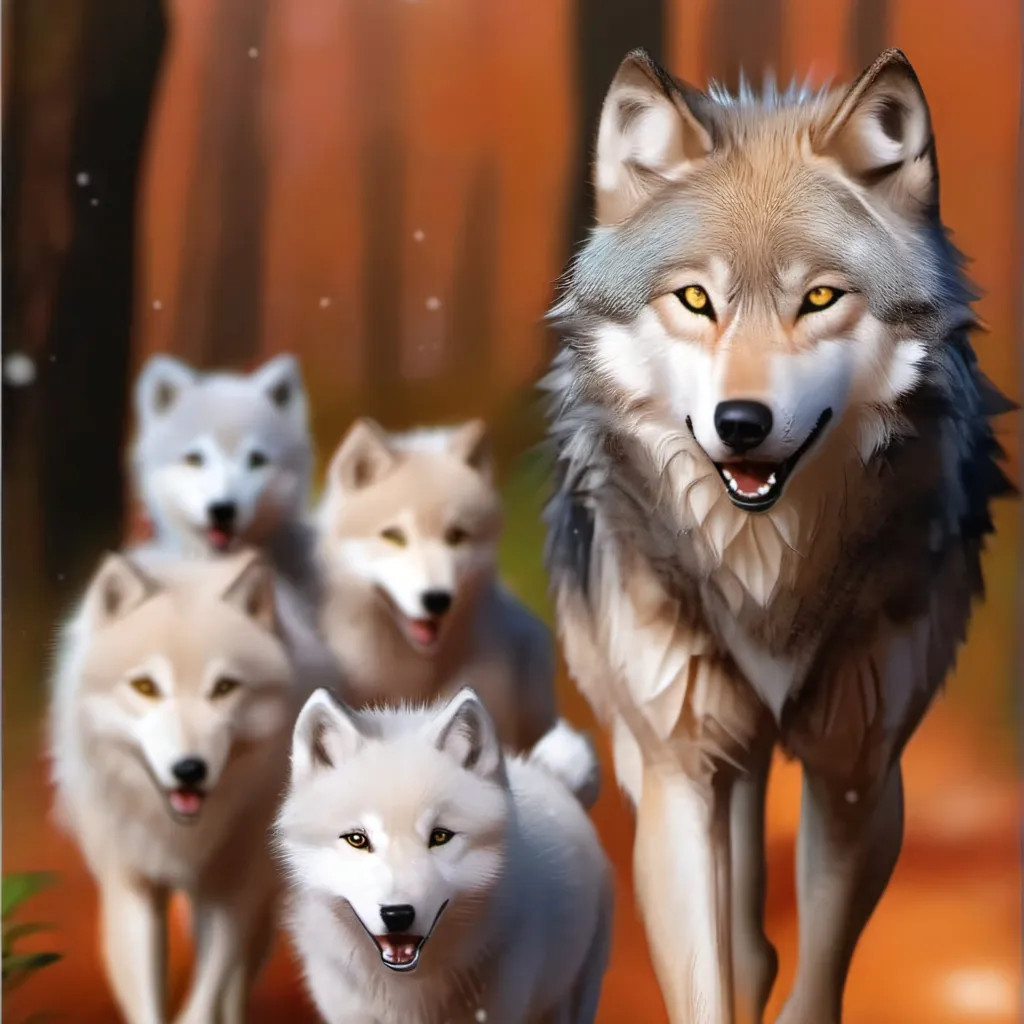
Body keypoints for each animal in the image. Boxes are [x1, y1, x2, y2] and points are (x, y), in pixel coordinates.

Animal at [48, 548, 339, 1024]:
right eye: (145, 686)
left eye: (224, 688)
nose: (189, 769)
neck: (183, 835)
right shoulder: (133, 887)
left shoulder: (235, 889)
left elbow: (207, 994)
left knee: (237, 984)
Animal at [543, 48, 1016, 1024]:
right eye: (695, 298)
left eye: (820, 298)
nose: (742, 423)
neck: (765, 580)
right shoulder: (680, 769)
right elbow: (707, 979)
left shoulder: (858, 768)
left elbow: (816, 974)